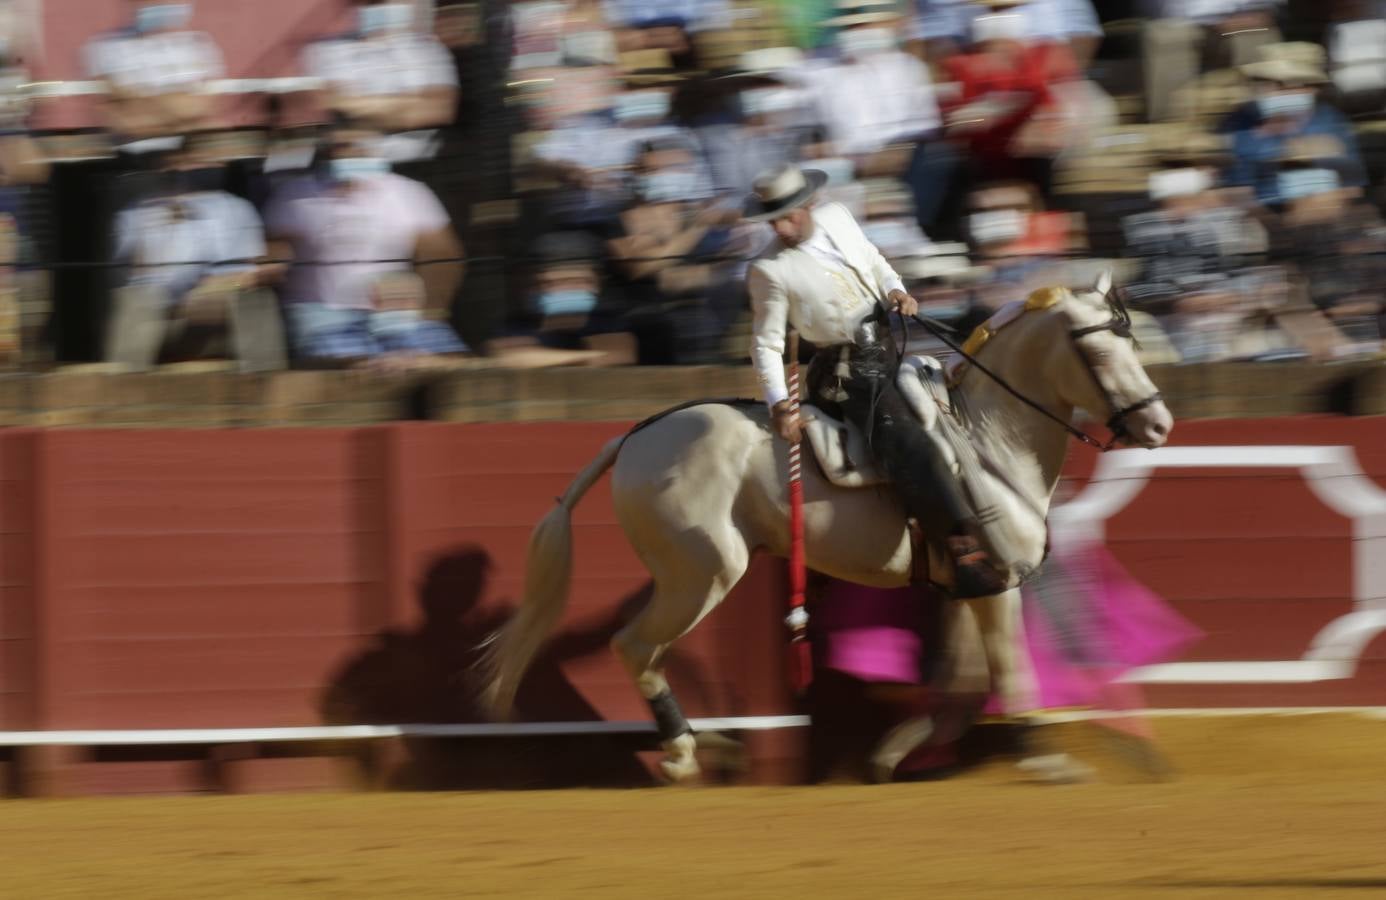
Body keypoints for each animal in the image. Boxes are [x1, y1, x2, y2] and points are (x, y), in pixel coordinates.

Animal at [482, 273, 1175, 776]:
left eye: (1133, 343)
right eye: (1096, 350)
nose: (1158, 424)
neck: (988, 438)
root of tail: (632, 438)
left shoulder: (966, 584)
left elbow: (964, 674)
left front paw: (896, 749)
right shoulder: (999, 582)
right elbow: (1008, 668)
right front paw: (1045, 760)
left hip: (690, 576)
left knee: (643, 649)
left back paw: (718, 746)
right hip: (702, 575)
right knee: (634, 646)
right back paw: (684, 752)